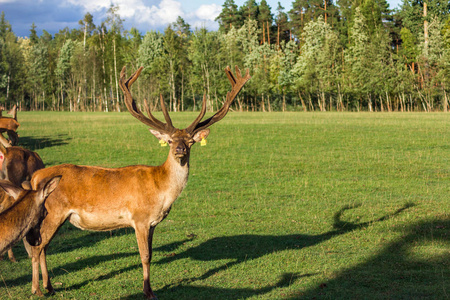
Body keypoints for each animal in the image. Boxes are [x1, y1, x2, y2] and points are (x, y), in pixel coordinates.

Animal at [27, 65, 250, 298]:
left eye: (190, 141)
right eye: (170, 140)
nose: (180, 149)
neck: (161, 191)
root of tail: (35, 177)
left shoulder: (152, 223)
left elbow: (150, 253)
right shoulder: (139, 218)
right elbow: (144, 255)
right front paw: (148, 291)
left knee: (43, 246)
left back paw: (49, 286)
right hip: (54, 212)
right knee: (36, 247)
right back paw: (36, 289)